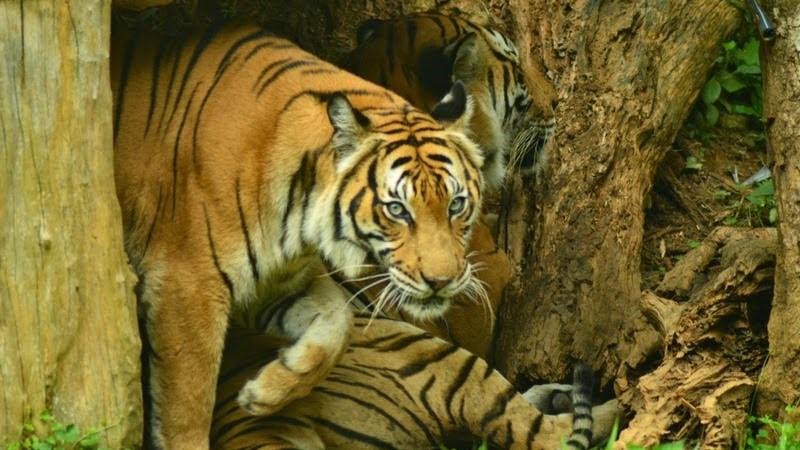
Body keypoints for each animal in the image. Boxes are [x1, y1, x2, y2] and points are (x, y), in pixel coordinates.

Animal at [112, 22, 494, 450]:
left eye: (456, 205)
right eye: (397, 209)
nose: (442, 282)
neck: (298, 222)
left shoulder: (276, 282)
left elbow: (340, 321)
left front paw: (266, 392)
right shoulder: (187, 286)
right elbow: (187, 407)